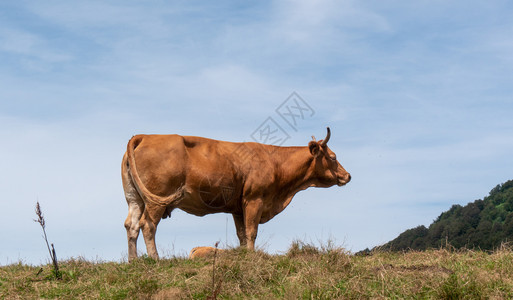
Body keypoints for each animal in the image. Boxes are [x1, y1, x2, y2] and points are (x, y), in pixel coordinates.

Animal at [122, 126, 350, 260]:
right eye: (333, 156)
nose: (347, 176)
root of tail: (144, 136)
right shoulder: (254, 199)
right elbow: (251, 231)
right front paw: (251, 256)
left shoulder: (238, 208)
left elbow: (241, 233)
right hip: (156, 200)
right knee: (147, 225)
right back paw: (155, 259)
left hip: (135, 199)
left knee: (131, 225)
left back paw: (134, 261)